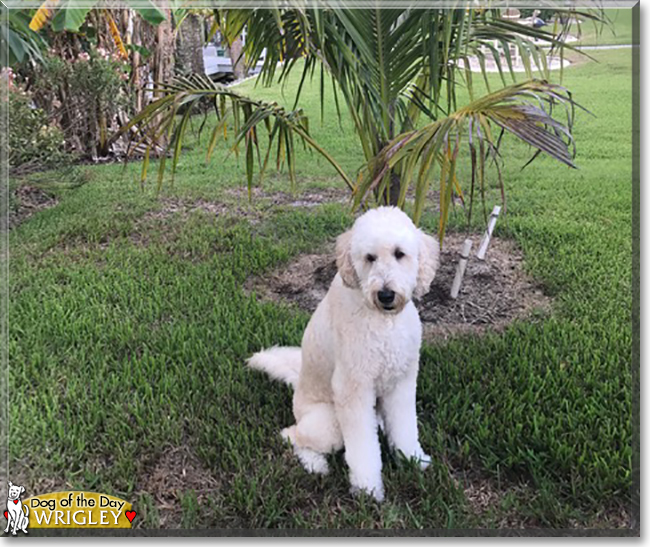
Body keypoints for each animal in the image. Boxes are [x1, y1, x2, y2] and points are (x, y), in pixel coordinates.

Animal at [246, 206, 438, 500]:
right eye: (369, 257)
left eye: (399, 253)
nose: (385, 294)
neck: (383, 321)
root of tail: (297, 387)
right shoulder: (353, 388)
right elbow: (363, 447)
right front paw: (368, 488)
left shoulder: (402, 382)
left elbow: (406, 427)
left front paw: (413, 459)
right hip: (328, 422)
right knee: (291, 434)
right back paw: (315, 464)